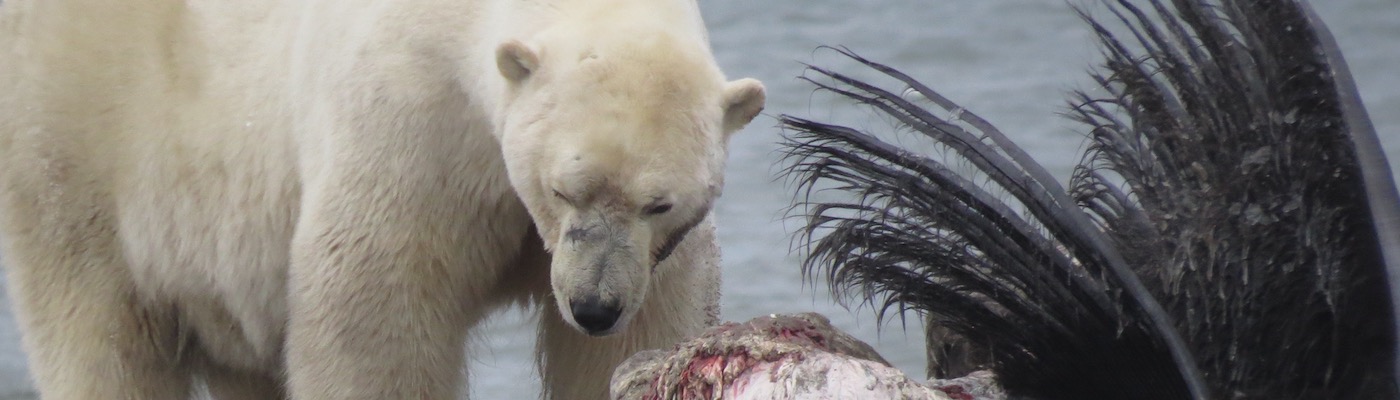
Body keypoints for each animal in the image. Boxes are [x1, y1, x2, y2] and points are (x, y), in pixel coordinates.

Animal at [0, 0, 761, 397]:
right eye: (562, 187)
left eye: (660, 204)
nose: (592, 306)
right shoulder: (415, 125)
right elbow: (375, 315)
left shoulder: (654, 257)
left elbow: (648, 328)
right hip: (82, 146)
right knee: (99, 336)